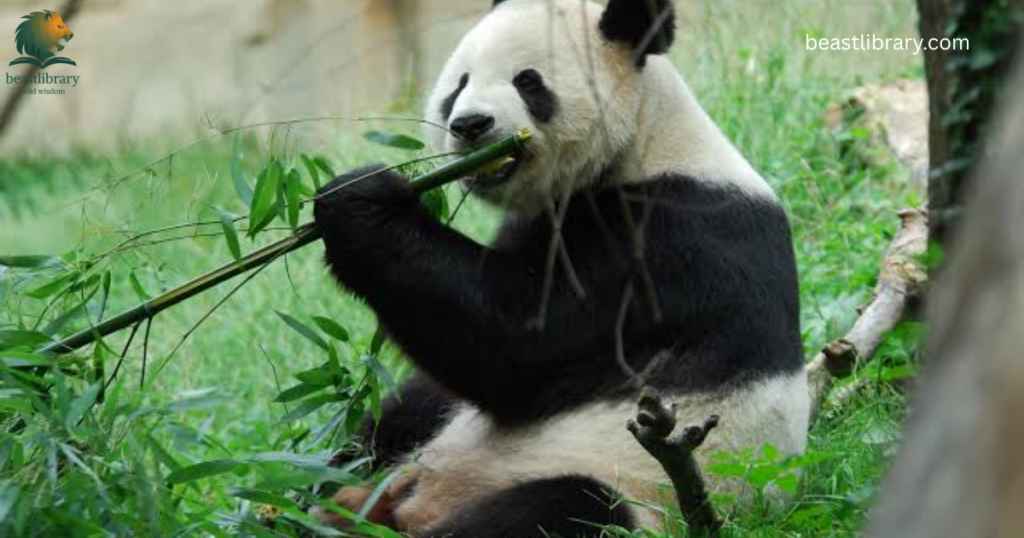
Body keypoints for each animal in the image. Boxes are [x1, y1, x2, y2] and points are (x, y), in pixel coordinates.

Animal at [311, 0, 809, 536]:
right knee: (401, 414)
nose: (470, 125)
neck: (649, 139)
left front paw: (361, 203)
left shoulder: (670, 244)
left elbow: (513, 343)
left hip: (637, 491)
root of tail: (409, 507)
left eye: (528, 82)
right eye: (460, 83)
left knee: (561, 507)